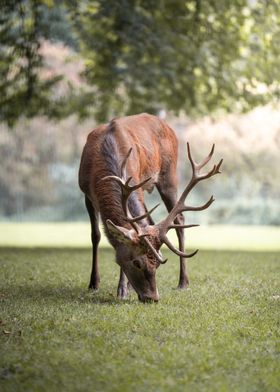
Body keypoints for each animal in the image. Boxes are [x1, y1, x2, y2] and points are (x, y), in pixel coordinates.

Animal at [77, 113, 222, 304]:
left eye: (158, 264)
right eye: (136, 262)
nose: (153, 297)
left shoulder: (136, 181)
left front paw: (122, 290)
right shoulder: (86, 193)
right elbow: (95, 236)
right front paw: (94, 283)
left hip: (169, 175)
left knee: (179, 220)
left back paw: (183, 282)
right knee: (152, 221)